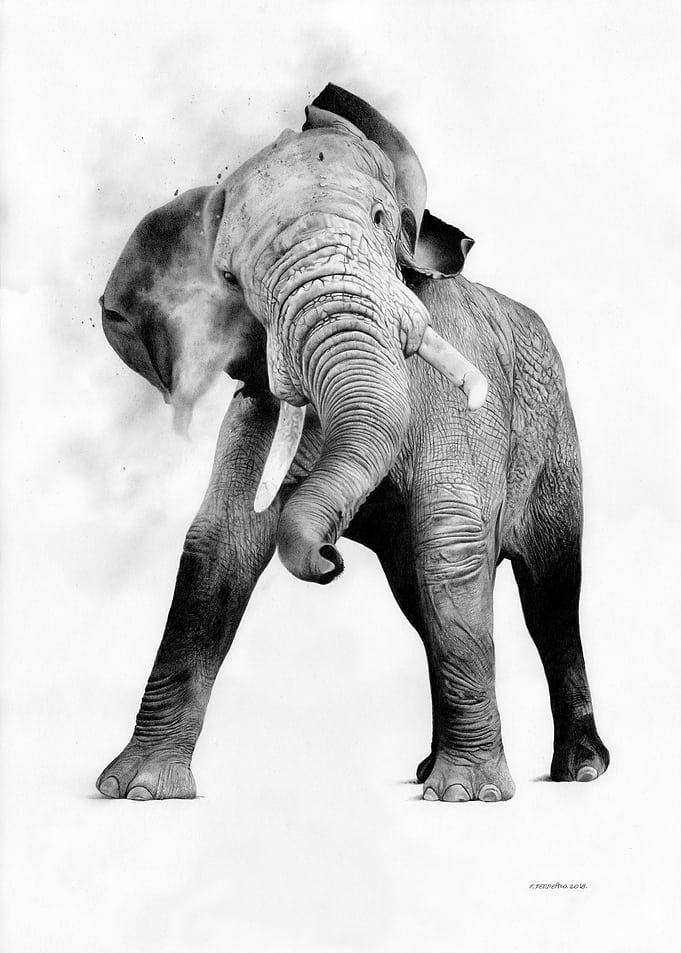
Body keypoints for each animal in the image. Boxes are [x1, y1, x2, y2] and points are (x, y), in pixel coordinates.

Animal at [97, 83, 609, 803]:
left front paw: (470, 798)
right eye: (231, 277)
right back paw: (427, 770)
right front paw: (136, 791)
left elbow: (452, 535)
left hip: (556, 439)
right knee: (421, 601)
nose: (328, 557)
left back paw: (578, 772)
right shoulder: (256, 393)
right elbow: (221, 537)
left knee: (550, 596)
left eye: (378, 217)